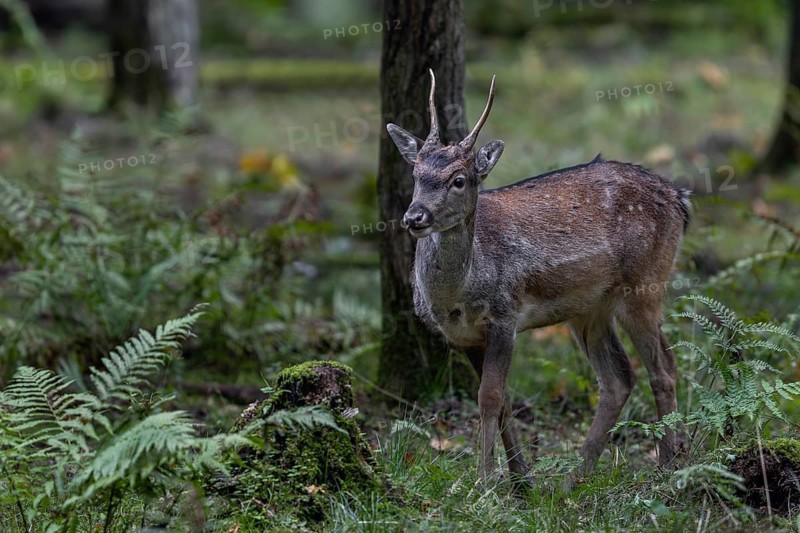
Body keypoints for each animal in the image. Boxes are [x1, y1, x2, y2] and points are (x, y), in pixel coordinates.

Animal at [386, 70, 690, 484]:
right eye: (416, 174)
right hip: (590, 309)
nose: (414, 217)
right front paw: (520, 478)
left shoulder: (504, 315)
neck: (456, 298)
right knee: (619, 377)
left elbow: (489, 397)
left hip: (645, 284)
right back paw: (576, 478)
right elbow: (502, 399)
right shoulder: (464, 337)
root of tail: (680, 198)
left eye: (459, 180)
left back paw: (668, 466)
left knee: (663, 369)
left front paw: (485, 481)